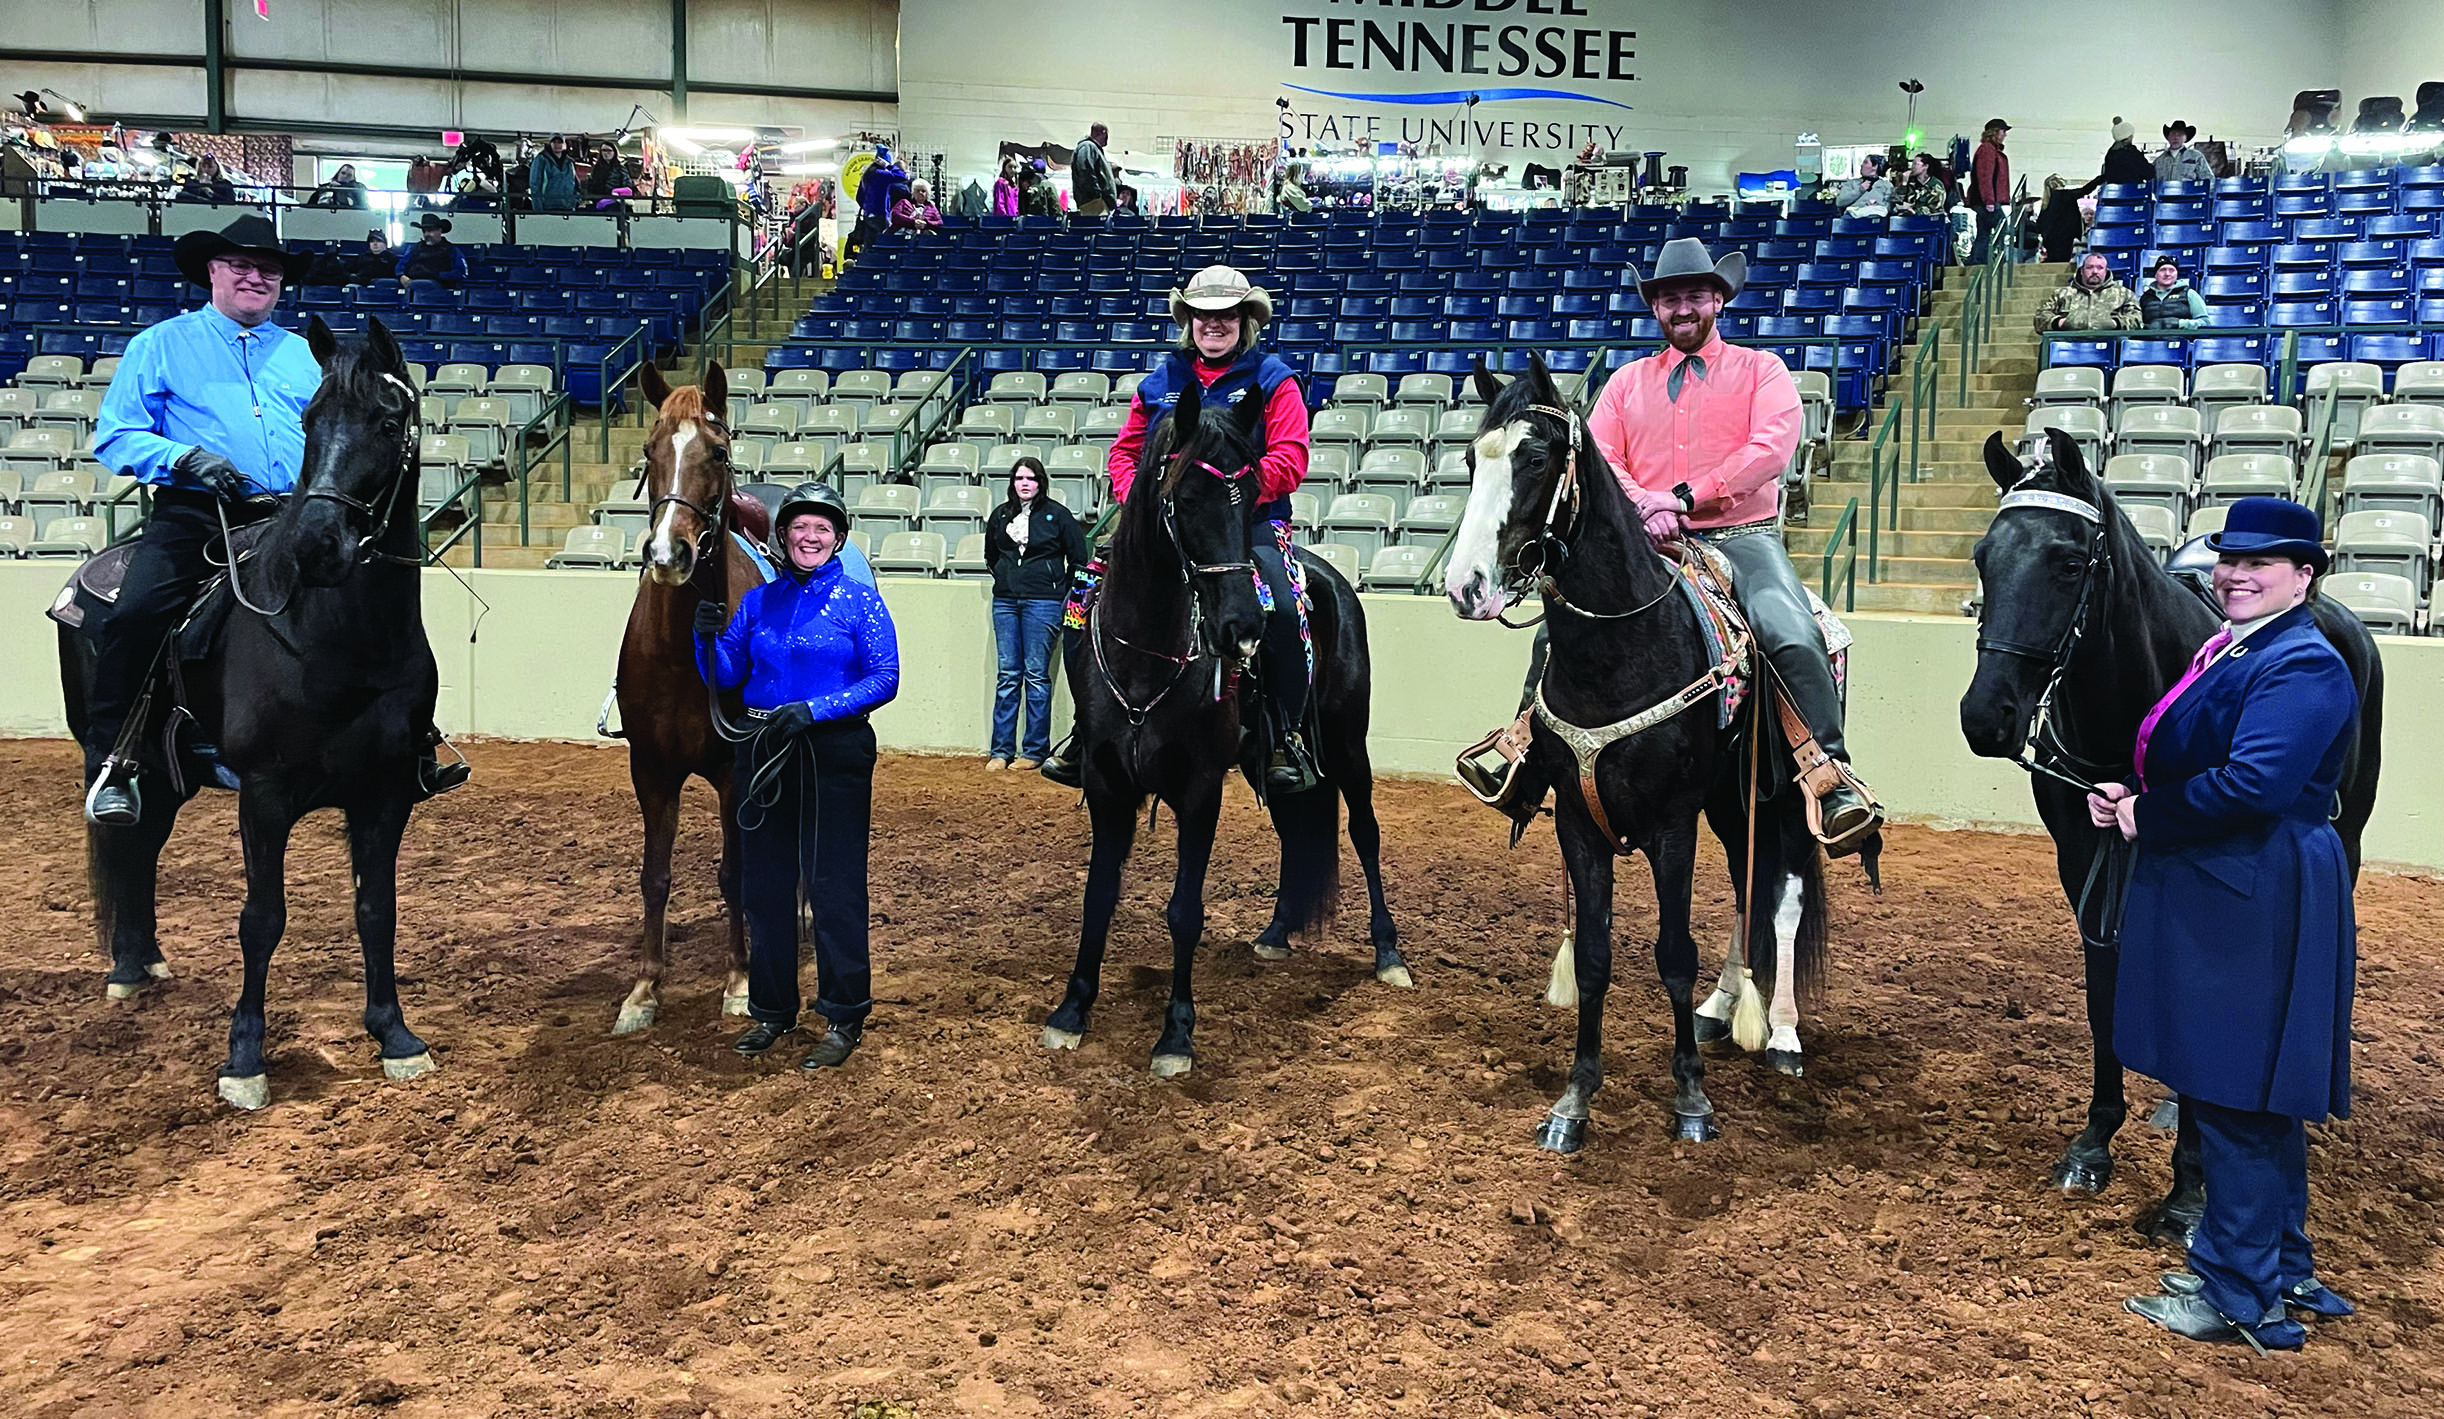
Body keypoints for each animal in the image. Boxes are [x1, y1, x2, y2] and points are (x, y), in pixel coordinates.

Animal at [58, 317, 449, 1108]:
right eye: (312, 420)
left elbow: (376, 908)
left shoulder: (386, 793)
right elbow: (262, 919)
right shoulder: (264, 796)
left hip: (170, 776)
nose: (317, 545)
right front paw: (244, 1059)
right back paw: (124, 969)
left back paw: (145, 959)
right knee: (121, 840)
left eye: (387, 422)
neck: (340, 639)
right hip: (111, 754)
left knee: (144, 849)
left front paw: (394, 1035)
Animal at [1041, 376, 1407, 1074]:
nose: (1242, 626)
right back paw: (1277, 933)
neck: (1148, 654)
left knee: (1366, 835)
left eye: (1249, 495)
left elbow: (1185, 910)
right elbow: (1097, 896)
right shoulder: (1106, 786)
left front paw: (1176, 1036)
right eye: (1184, 499)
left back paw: (1389, 953)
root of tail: (1331, 577)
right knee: (1296, 834)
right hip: (1277, 762)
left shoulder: (1199, 788)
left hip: (1349, 746)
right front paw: (1071, 1011)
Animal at [1427, 356, 1837, 1152]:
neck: (1622, 647)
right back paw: (1723, 1007)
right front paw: (1574, 1100)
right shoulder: (1577, 825)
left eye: (1535, 458)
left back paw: (1780, 1034)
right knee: (1746, 889)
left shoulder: (1672, 824)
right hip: (1728, 804)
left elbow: (1673, 954)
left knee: (1784, 896)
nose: (1465, 587)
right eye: (1469, 459)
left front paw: (1691, 1100)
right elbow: (1592, 957)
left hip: (1783, 801)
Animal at [1964, 424, 2385, 1235]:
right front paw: (2094, 1143)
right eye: (1982, 557)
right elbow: (2105, 996)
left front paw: (2190, 1185)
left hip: (2346, 837)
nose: (1985, 716)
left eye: (2068, 562)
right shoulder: (2086, 859)